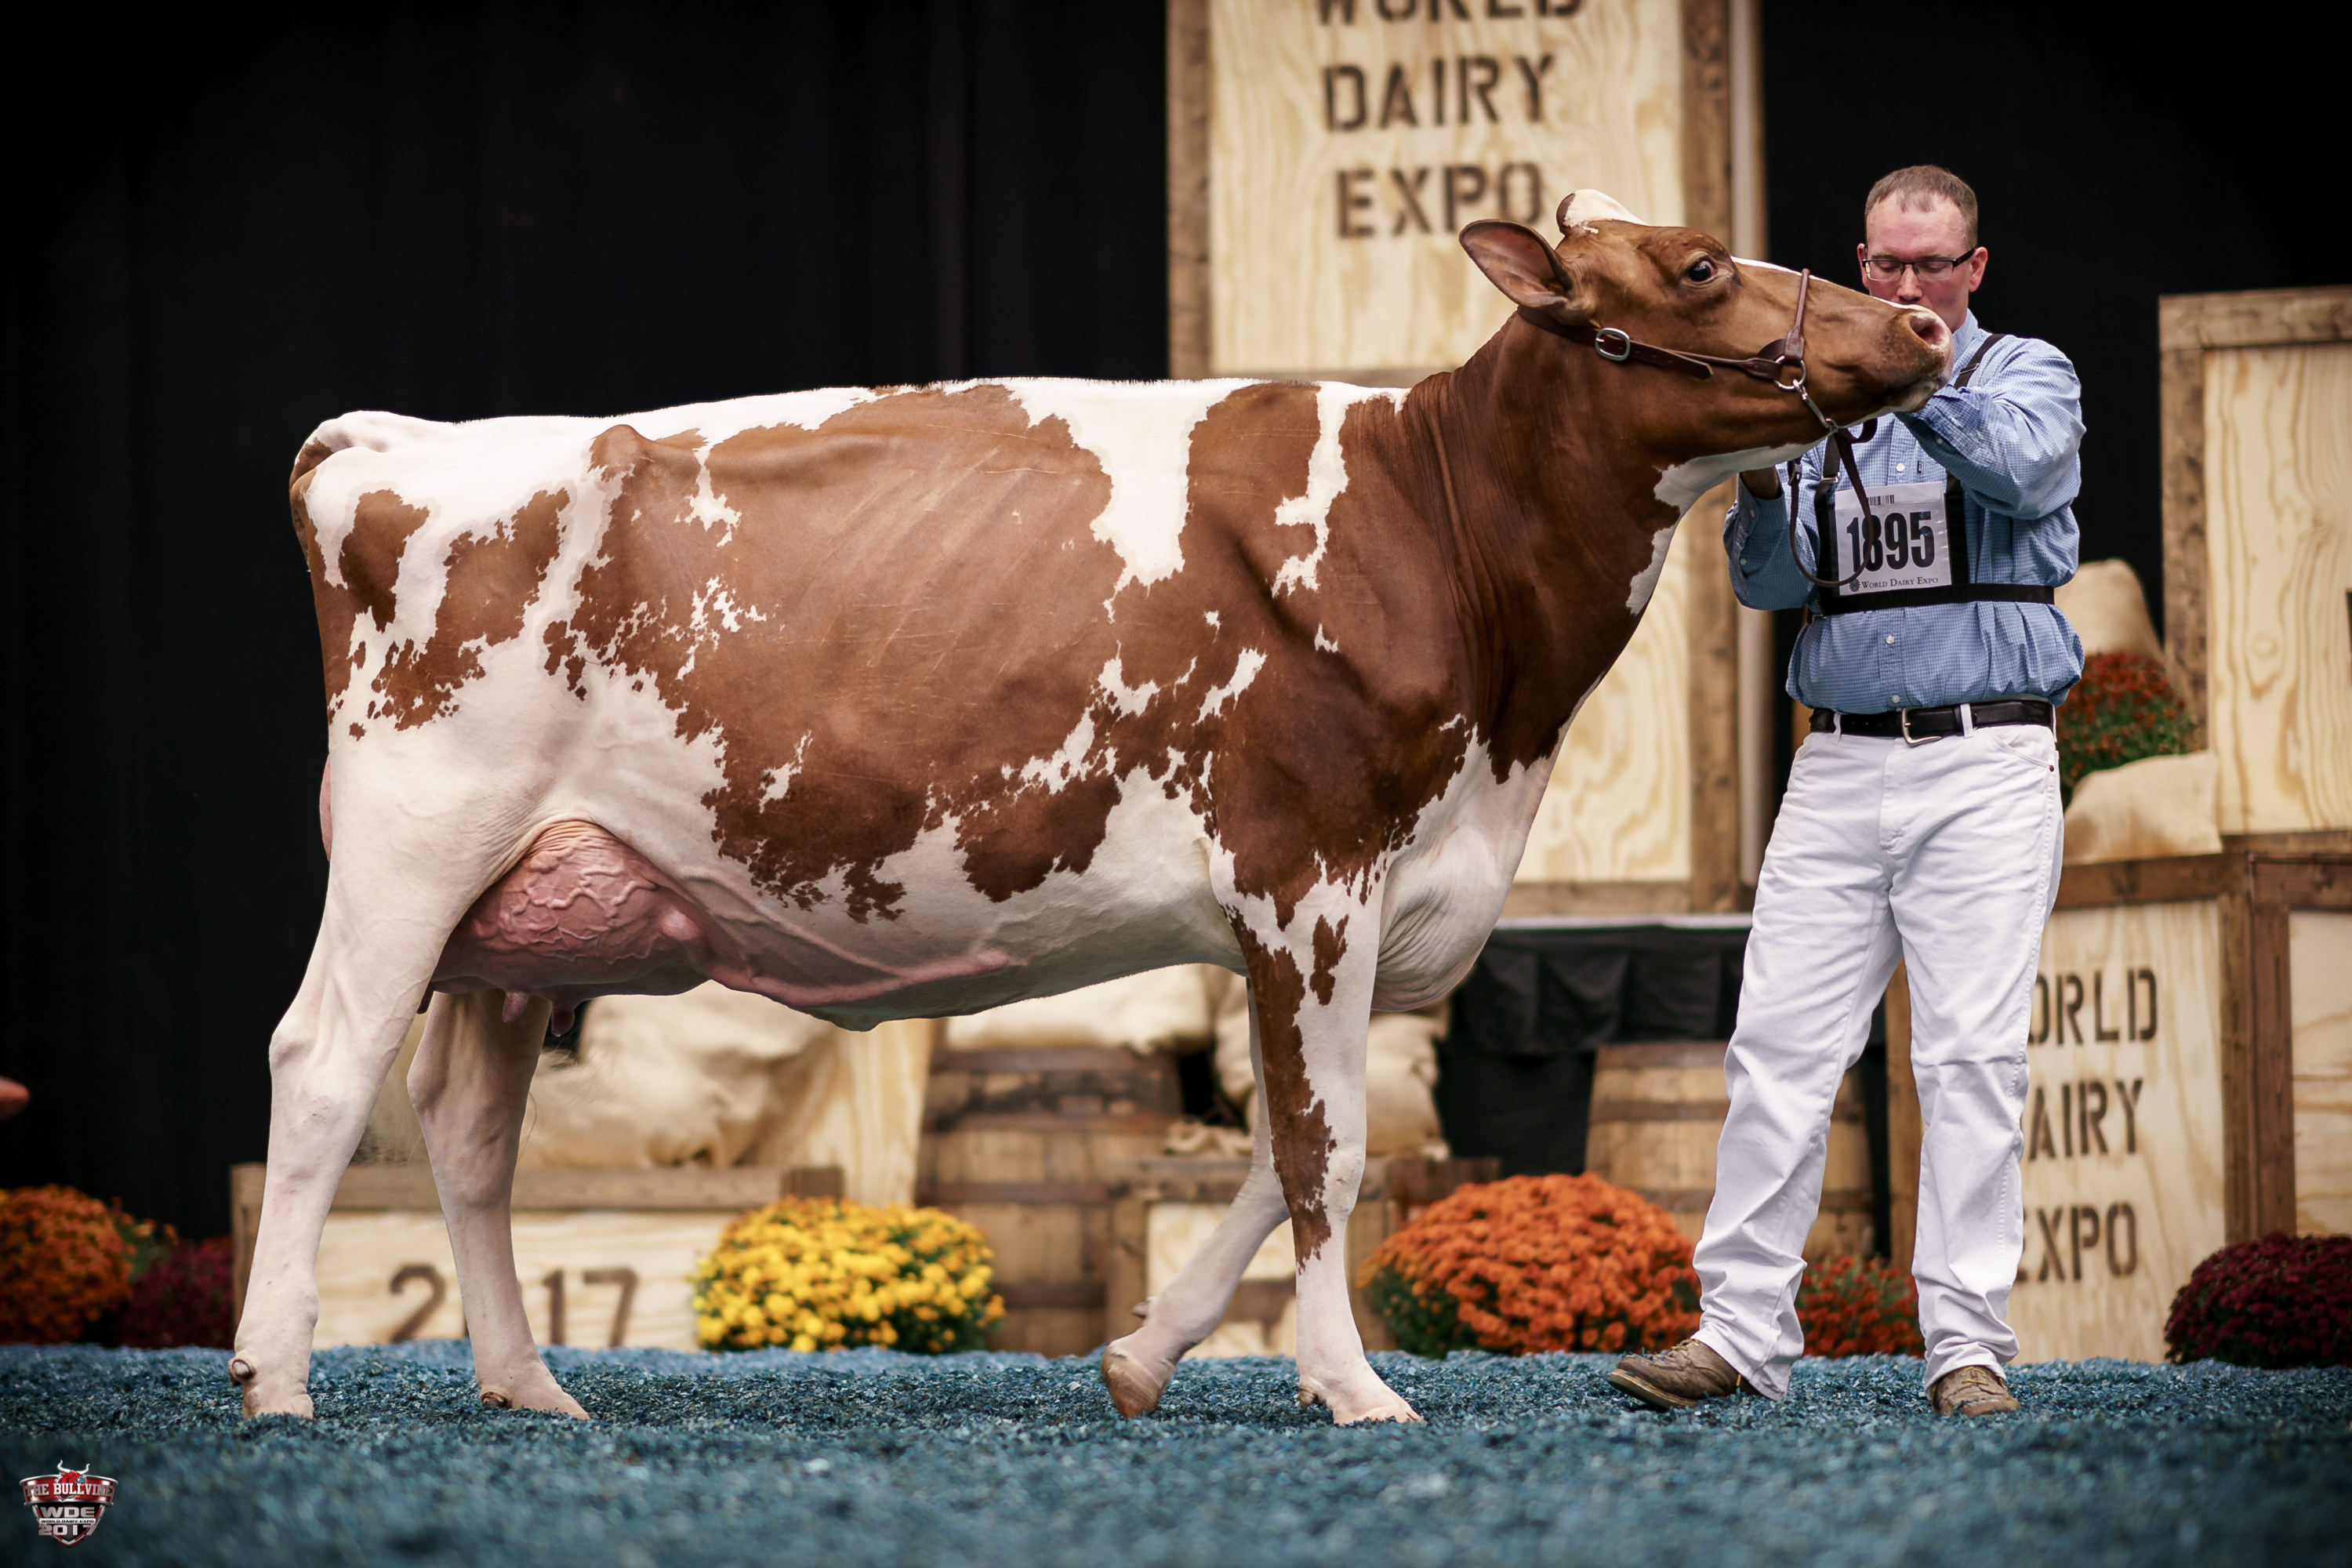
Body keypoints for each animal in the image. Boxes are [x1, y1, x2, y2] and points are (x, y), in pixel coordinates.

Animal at [238, 192, 1949, 1425]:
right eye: (1700, 263)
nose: (1924, 321)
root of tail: (387, 441)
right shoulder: (1310, 874)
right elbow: (1326, 1153)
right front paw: (1353, 1389)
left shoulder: (1357, 904)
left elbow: (1279, 1145)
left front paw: (1143, 1356)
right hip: (411, 841)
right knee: (324, 1069)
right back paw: (276, 1378)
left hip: (532, 907)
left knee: (467, 1127)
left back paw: (528, 1385)